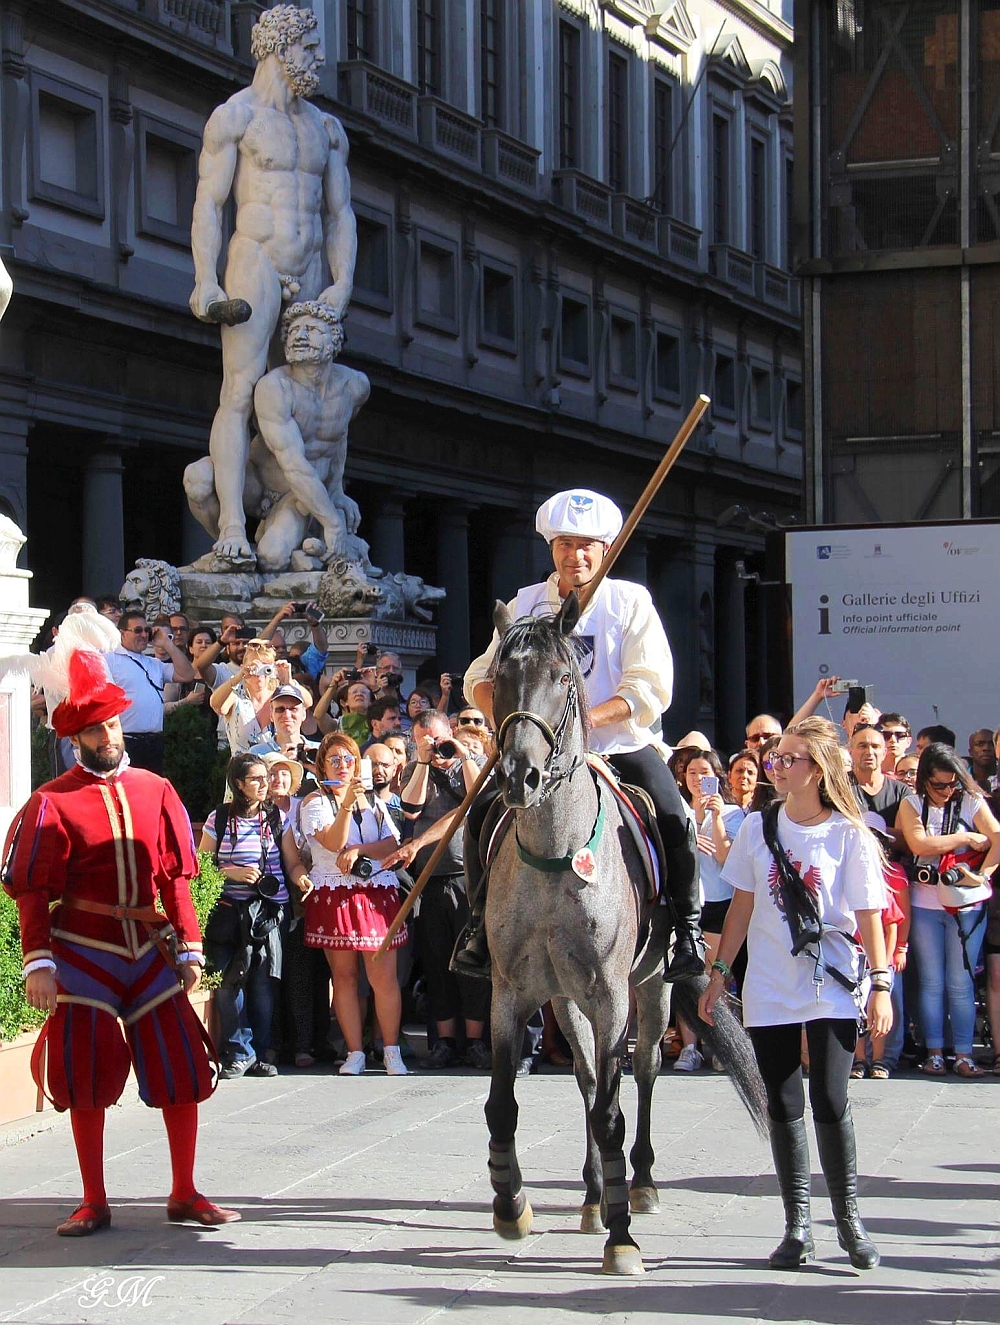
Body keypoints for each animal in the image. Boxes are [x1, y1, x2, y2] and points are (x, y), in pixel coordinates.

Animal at [482, 598, 768, 1272]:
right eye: (502, 678)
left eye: (563, 678)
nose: (519, 777)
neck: (554, 857)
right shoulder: (510, 992)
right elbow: (503, 1104)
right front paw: (512, 1205)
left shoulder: (611, 996)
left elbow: (612, 1109)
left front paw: (623, 1239)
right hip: (565, 999)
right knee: (588, 1080)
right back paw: (591, 1196)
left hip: (652, 986)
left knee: (640, 1074)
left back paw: (638, 1187)